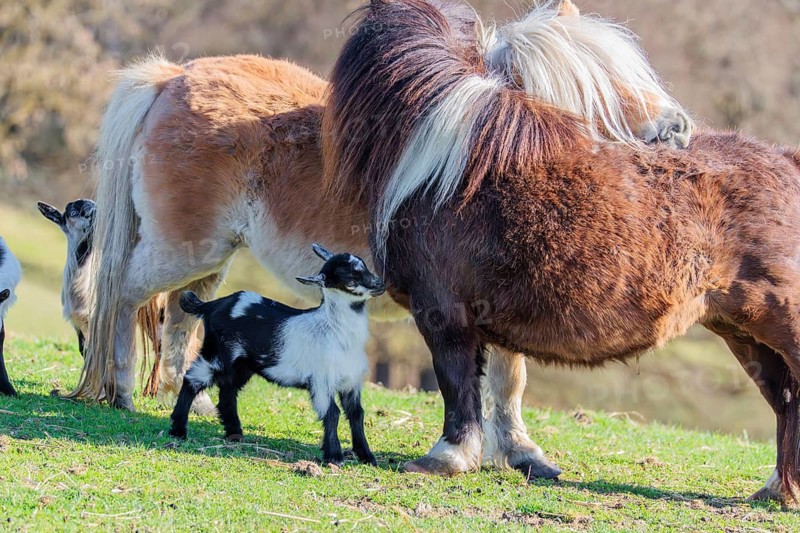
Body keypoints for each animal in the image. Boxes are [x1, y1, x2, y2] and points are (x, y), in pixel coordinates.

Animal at [169, 244, 385, 466]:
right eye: (350, 279)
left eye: (364, 266)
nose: (380, 284)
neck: (334, 330)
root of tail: (212, 305)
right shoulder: (321, 381)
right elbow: (332, 413)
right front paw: (334, 456)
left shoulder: (351, 383)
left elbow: (356, 414)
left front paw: (367, 456)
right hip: (216, 355)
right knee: (192, 378)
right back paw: (178, 430)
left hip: (242, 364)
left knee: (227, 390)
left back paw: (235, 434)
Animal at [323, 0, 800, 504]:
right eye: (613, 83)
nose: (679, 128)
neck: (444, 170)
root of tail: (788, 161)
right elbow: (502, 380)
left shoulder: (441, 311)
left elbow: (455, 380)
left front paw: (447, 457)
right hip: (743, 332)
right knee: (785, 399)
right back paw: (778, 490)